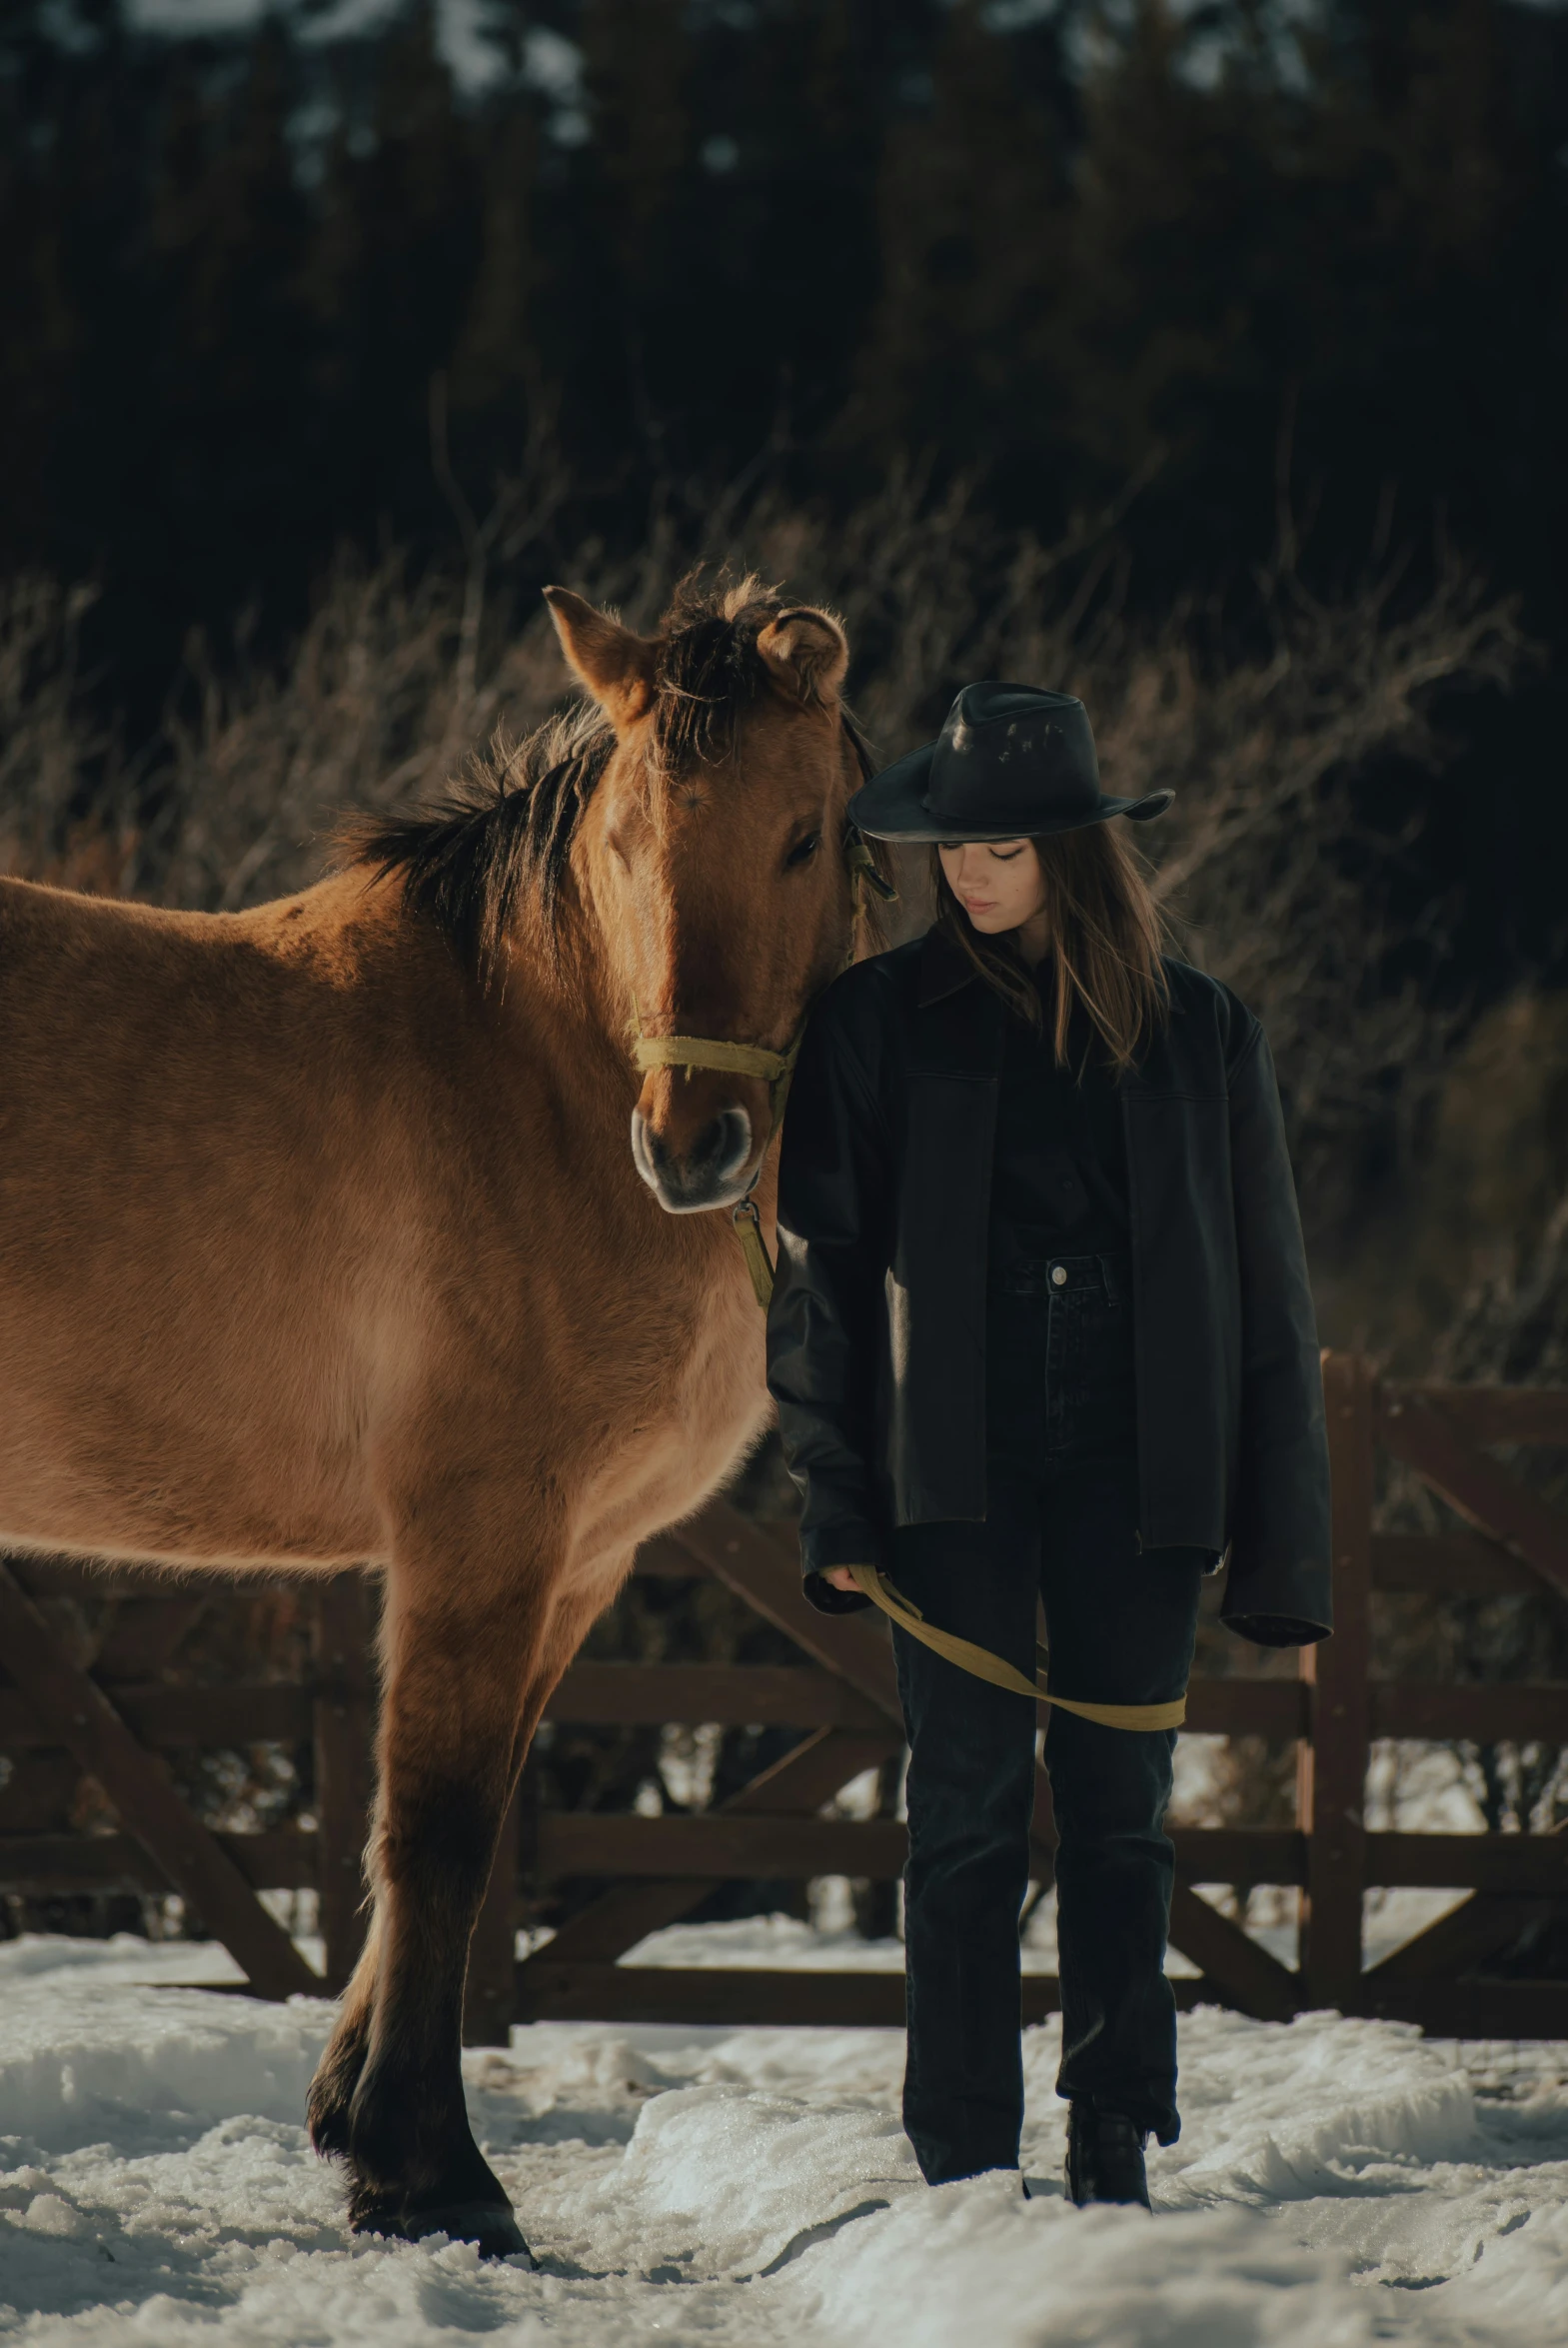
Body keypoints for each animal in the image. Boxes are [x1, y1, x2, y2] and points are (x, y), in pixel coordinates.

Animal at [0, 573, 882, 2254]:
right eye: (623, 844)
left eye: (803, 835)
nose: (692, 1143)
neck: (530, 1075)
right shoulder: (479, 1535)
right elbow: (439, 1829)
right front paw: (435, 2174)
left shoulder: (580, 1558)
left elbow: (457, 1829)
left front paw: (363, 2128)